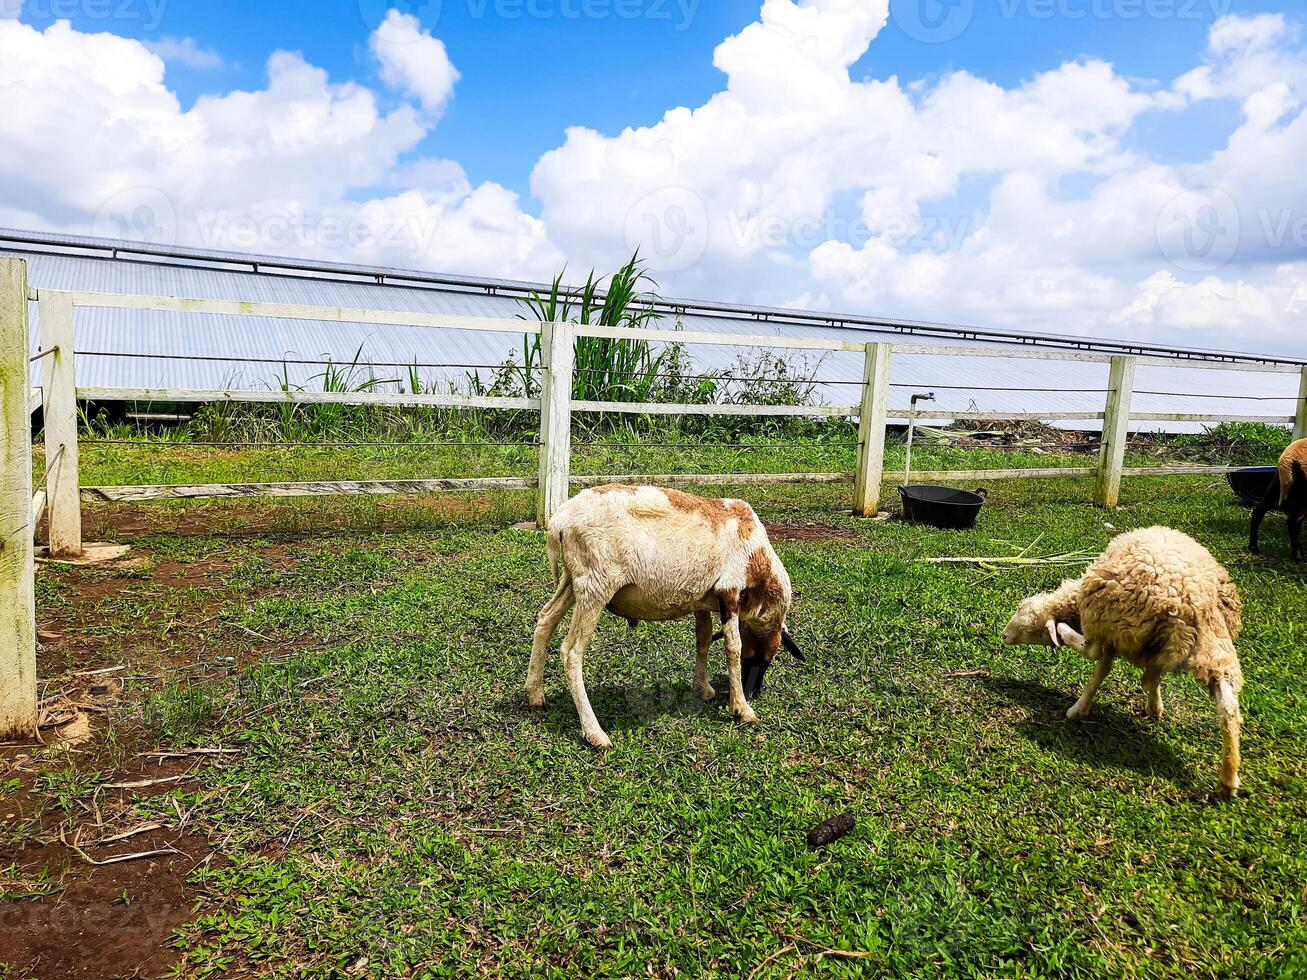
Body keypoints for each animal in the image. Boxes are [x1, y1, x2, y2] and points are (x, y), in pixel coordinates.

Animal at [525, 486, 799, 752]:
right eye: (765, 658)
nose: (753, 692)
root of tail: (559, 522)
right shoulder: (729, 591)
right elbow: (733, 647)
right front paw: (743, 709)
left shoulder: (702, 599)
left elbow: (703, 639)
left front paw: (703, 689)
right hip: (595, 584)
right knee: (571, 651)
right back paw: (595, 733)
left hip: (573, 580)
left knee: (545, 620)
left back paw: (535, 695)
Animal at [1003, 530, 1249, 799]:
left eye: (1030, 626)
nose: (1003, 635)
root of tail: (1191, 600)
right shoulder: (1126, 640)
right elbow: (1116, 674)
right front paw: (1151, 708)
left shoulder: (1107, 628)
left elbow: (1097, 662)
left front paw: (1077, 708)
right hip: (1212, 644)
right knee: (1227, 706)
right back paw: (1228, 778)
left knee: (1097, 653)